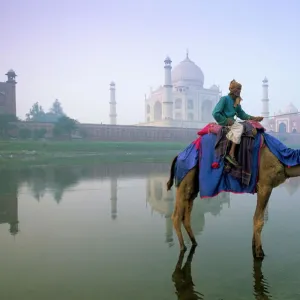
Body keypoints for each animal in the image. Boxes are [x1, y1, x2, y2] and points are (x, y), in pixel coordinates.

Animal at [166, 135, 300, 258]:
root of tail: (178, 156)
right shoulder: (265, 185)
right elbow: (259, 220)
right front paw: (259, 252)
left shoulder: (264, 187)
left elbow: (255, 217)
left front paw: (253, 246)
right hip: (185, 178)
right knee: (176, 215)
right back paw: (183, 247)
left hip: (193, 184)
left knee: (187, 213)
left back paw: (194, 243)